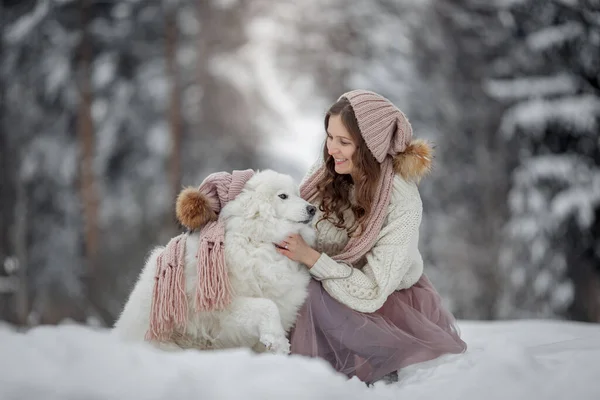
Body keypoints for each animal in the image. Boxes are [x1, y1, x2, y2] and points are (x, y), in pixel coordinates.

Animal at [113, 169, 318, 354]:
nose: (313, 209)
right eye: (283, 196)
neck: (258, 240)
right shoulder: (224, 306)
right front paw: (278, 340)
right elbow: (267, 306)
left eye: (298, 194)